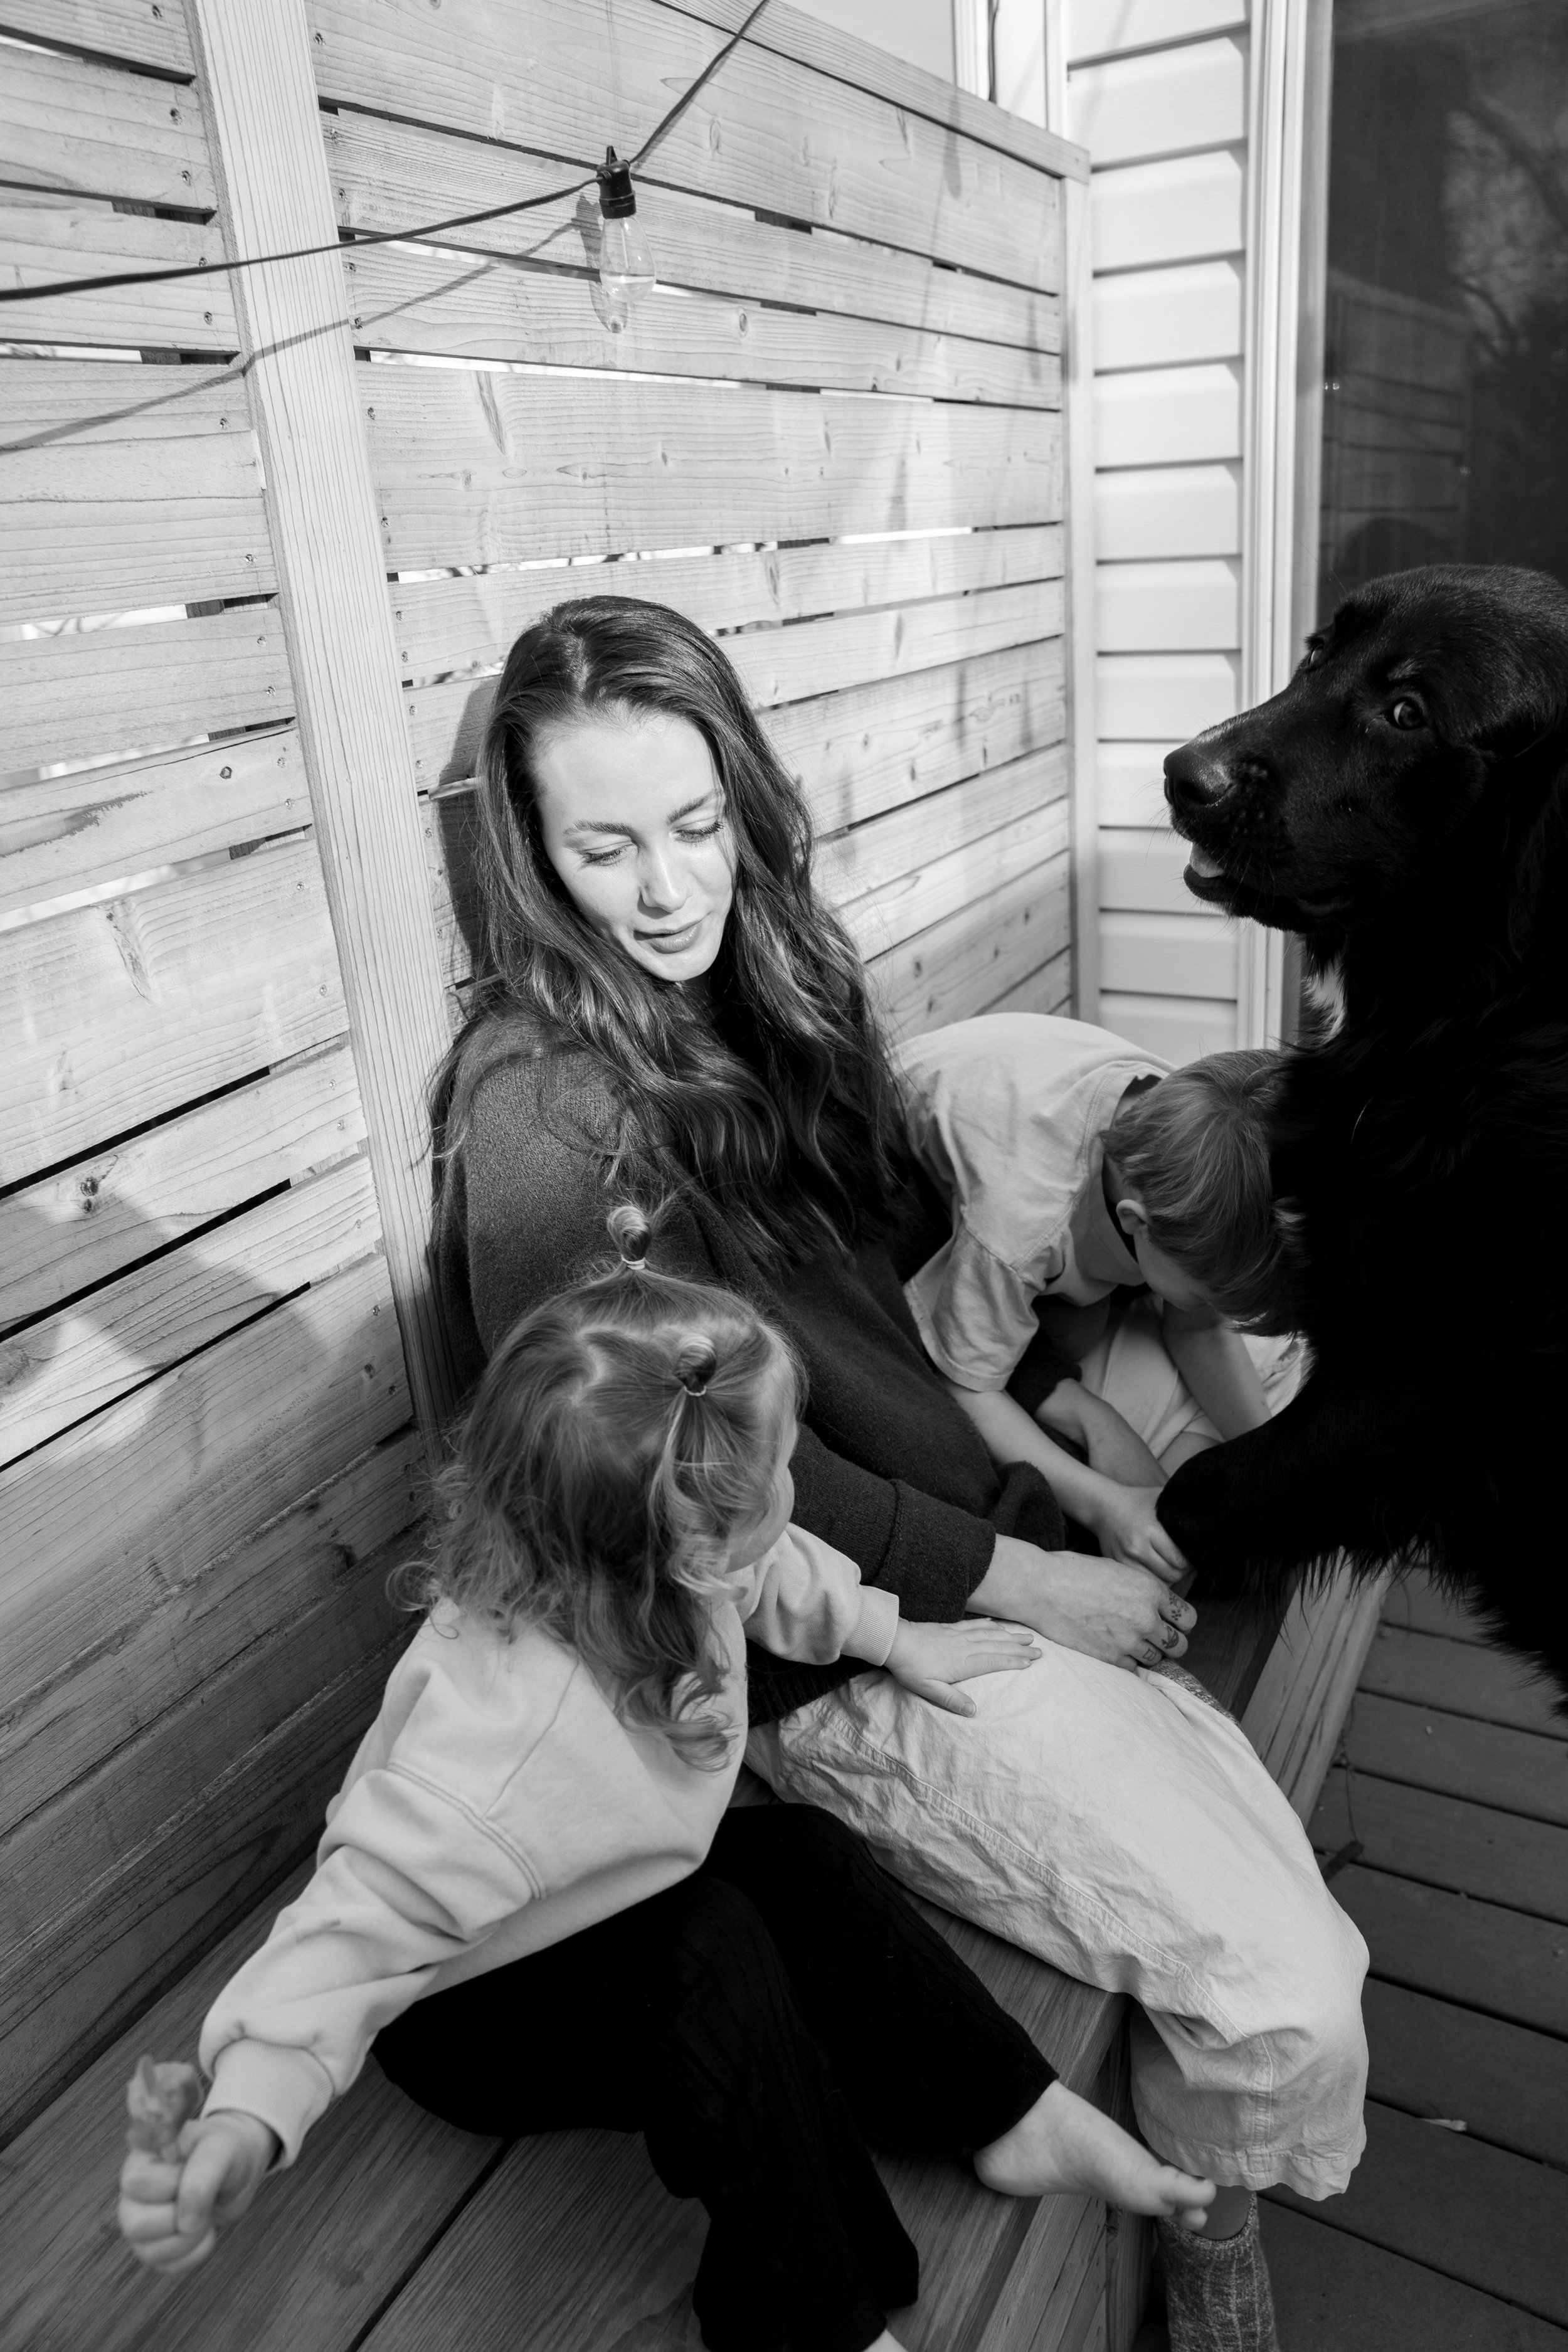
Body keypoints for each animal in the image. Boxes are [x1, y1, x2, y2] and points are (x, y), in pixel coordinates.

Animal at [1154, 565, 1568, 1692]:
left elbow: (1193, 1494)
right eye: (1315, 651)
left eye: (1407, 713)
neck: (1482, 1019)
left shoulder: (1416, 1392)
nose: (1182, 775)